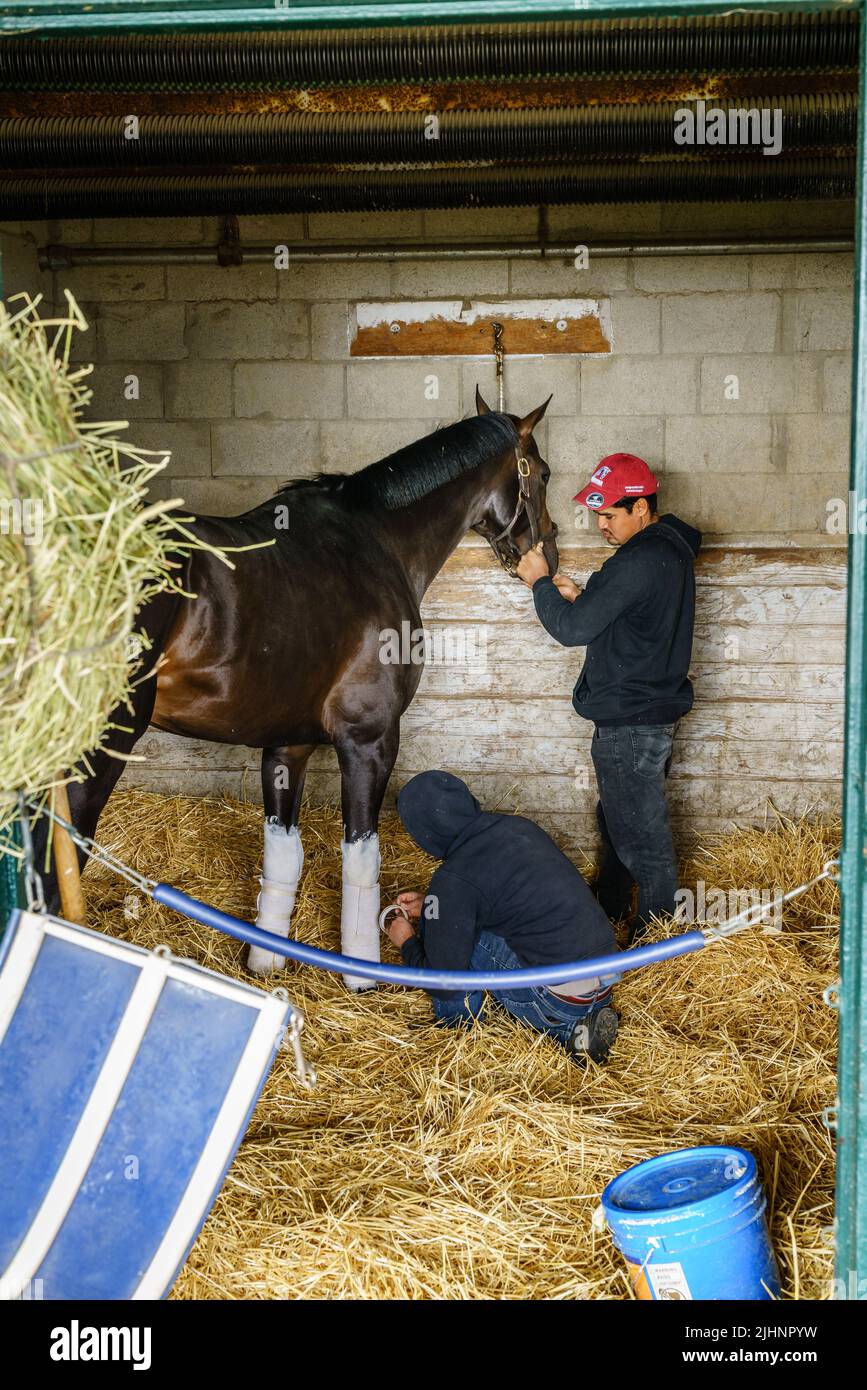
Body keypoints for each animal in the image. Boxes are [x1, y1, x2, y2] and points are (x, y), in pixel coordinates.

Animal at [40, 391, 555, 989]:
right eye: (543, 472)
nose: (548, 554)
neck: (377, 541)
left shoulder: (288, 746)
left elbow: (283, 853)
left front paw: (266, 961)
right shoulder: (370, 740)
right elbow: (361, 857)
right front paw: (361, 973)